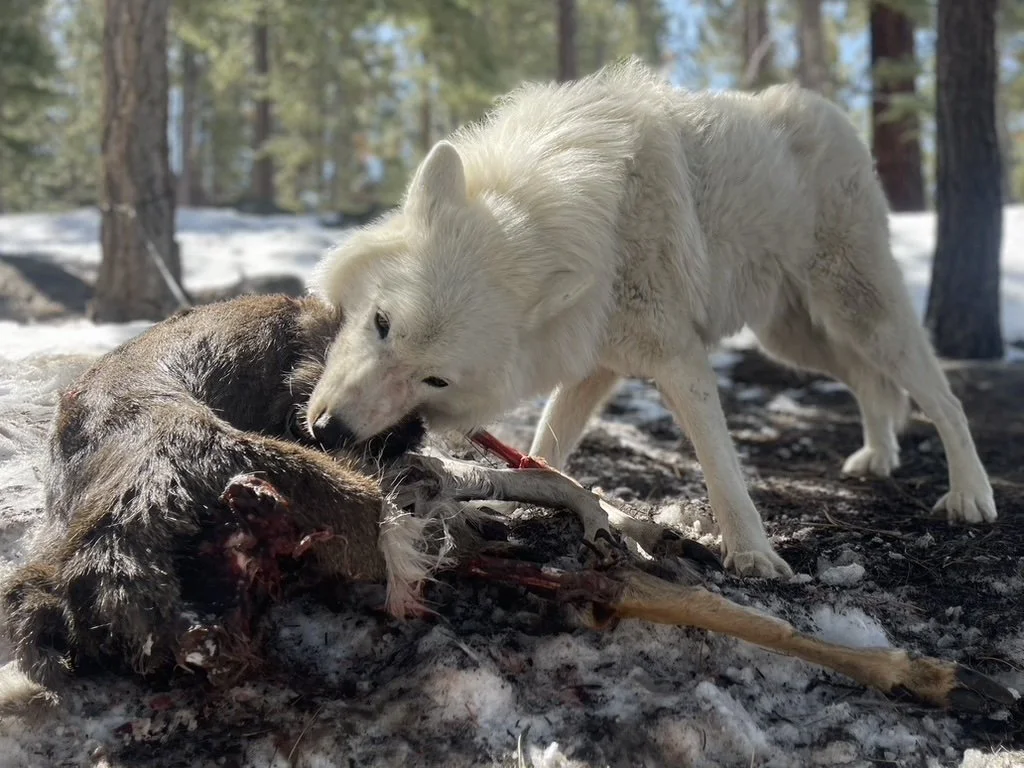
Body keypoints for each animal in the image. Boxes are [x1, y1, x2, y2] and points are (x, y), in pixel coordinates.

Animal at [305, 58, 996, 580]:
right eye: (382, 323)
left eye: (436, 380)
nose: (330, 432)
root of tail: (831, 113)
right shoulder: (593, 363)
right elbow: (545, 448)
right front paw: (538, 498)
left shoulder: (678, 359)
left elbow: (722, 469)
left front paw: (754, 556)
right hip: (794, 339)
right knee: (871, 384)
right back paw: (877, 456)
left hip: (862, 314)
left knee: (943, 397)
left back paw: (970, 494)